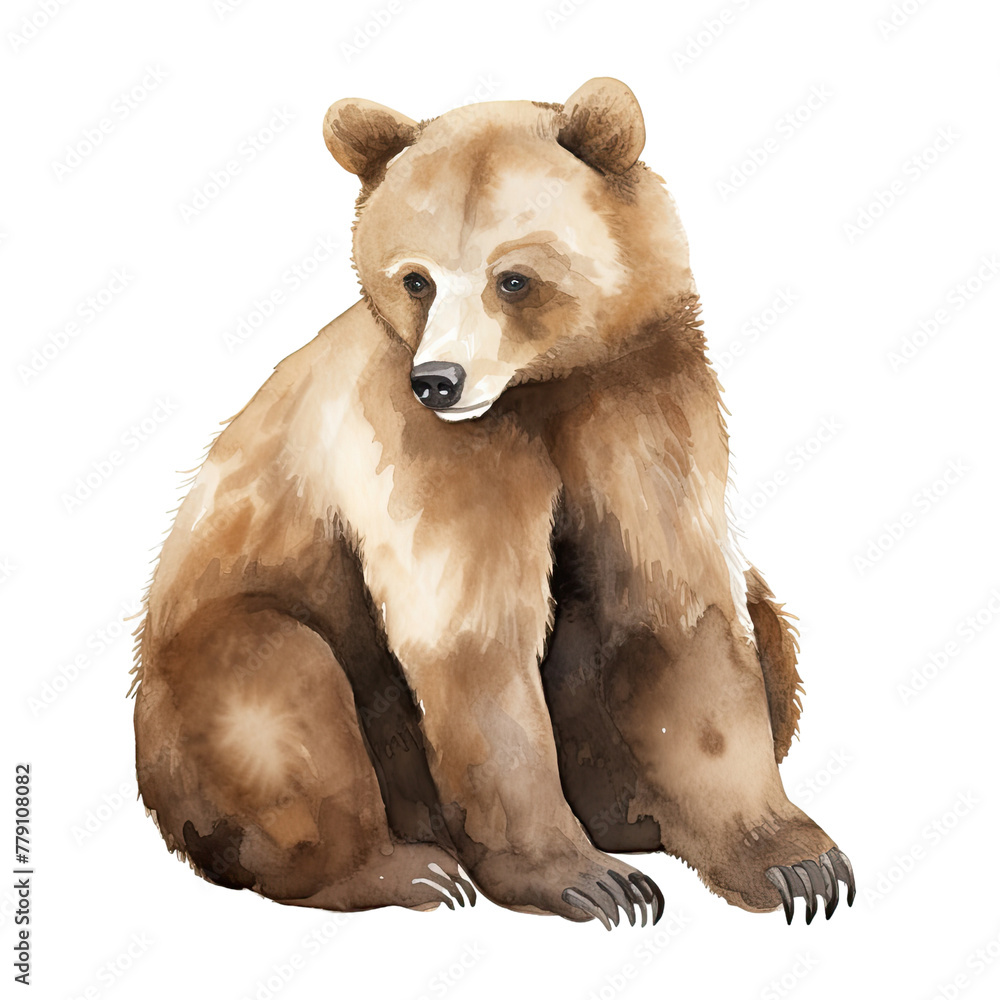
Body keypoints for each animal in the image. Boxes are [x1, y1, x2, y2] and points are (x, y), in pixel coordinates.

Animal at [131, 78, 853, 929]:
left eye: (513, 278)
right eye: (416, 278)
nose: (439, 381)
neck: (541, 391)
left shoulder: (639, 401)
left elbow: (678, 606)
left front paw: (794, 862)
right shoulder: (426, 447)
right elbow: (475, 639)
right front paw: (588, 880)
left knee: (767, 614)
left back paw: (636, 818)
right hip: (210, 678)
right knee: (277, 684)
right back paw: (402, 869)